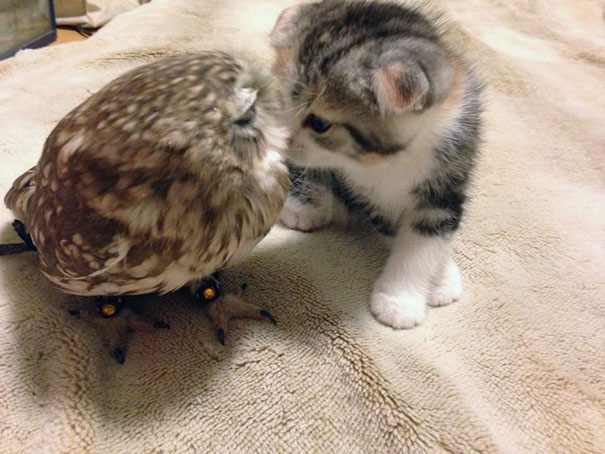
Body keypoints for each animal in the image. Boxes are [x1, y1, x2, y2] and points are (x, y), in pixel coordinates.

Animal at [268, 0, 482, 326]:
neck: (392, 159)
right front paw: (401, 301)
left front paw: (436, 279)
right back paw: (303, 206)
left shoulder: (450, 172)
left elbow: (427, 238)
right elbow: (395, 230)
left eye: (320, 124)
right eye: (283, 104)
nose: (283, 140)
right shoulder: (368, 194)